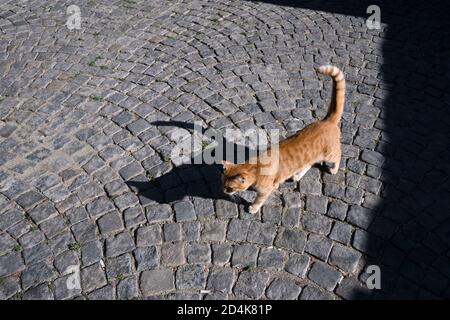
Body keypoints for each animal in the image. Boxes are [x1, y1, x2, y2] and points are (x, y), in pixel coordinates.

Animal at [223, 65, 346, 214]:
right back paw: (298, 175)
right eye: (222, 183)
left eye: (230, 188)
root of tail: (326, 121)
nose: (223, 191)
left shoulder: (265, 190)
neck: (256, 167)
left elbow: (259, 200)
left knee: (338, 157)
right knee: (308, 164)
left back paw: (334, 169)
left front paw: (253, 208)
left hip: (330, 154)